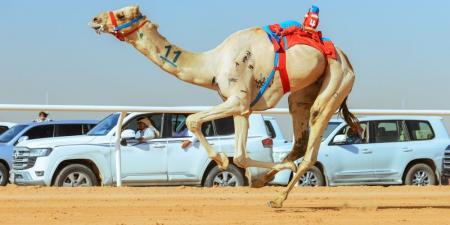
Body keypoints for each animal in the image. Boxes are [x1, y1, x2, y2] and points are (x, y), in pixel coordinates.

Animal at [89, 4, 360, 207]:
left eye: (121, 14)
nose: (94, 19)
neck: (212, 63)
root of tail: (347, 60)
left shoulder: (238, 99)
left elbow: (193, 120)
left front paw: (220, 159)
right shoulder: (241, 107)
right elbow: (239, 156)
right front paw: (256, 171)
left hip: (336, 81)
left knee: (313, 137)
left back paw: (279, 199)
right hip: (305, 89)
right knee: (299, 131)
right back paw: (266, 180)